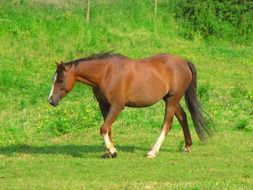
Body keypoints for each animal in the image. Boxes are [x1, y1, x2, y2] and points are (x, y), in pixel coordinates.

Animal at [47, 51, 211, 157]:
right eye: (53, 79)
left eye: (60, 80)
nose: (51, 100)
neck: (105, 74)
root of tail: (184, 61)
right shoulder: (104, 105)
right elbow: (108, 129)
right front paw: (108, 152)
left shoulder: (117, 106)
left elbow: (103, 128)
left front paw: (113, 151)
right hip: (170, 99)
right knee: (183, 118)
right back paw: (187, 146)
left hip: (172, 99)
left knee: (167, 124)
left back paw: (153, 151)